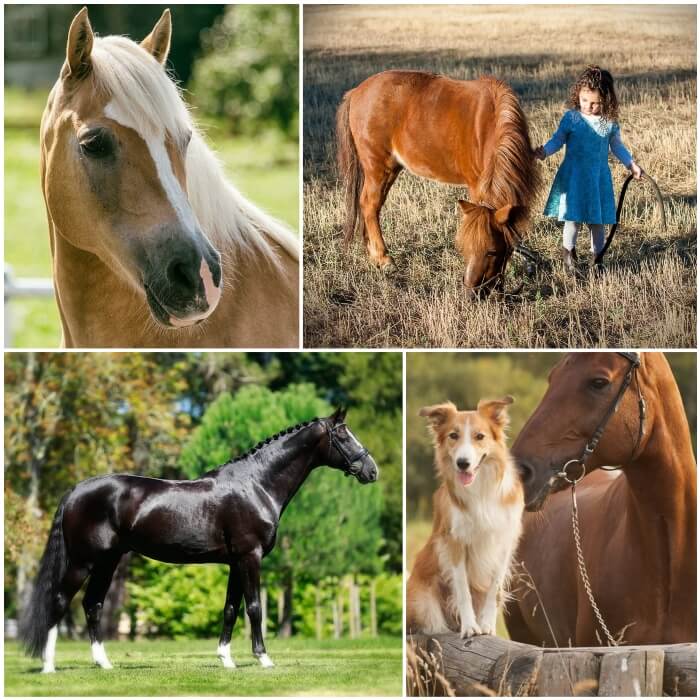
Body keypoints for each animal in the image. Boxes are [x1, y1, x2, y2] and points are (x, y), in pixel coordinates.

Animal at [20, 410, 378, 672]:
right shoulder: (250, 557)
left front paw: (227, 660)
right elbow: (254, 607)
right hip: (84, 561)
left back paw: (104, 664)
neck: (256, 485)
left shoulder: (235, 562)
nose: (371, 471)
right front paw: (263, 658)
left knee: (92, 604)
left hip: (108, 561)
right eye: (342, 435)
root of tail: (75, 491)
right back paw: (49, 666)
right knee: (60, 601)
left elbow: (231, 609)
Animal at [336, 69, 540, 292]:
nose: (472, 292)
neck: (490, 124)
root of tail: (356, 92)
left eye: (492, 251)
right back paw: (383, 258)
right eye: (466, 247)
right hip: (378, 167)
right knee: (369, 205)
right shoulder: (476, 186)